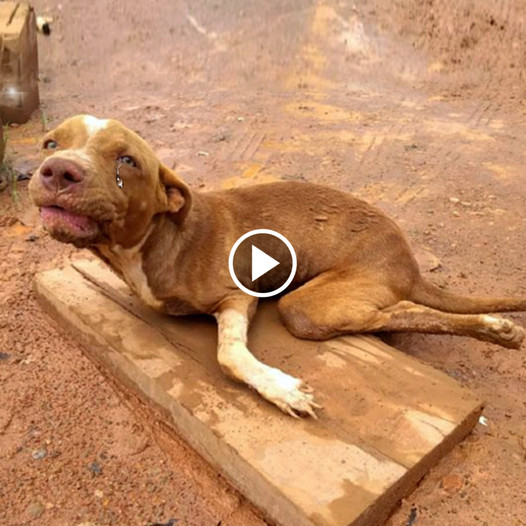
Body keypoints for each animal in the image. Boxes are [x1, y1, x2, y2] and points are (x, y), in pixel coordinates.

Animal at [29, 115, 526, 420]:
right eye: (51, 143)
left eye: (127, 160)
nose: (57, 170)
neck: (151, 244)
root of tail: (408, 261)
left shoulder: (238, 295)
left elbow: (229, 355)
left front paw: (281, 389)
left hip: (305, 306)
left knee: (404, 312)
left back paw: (496, 328)